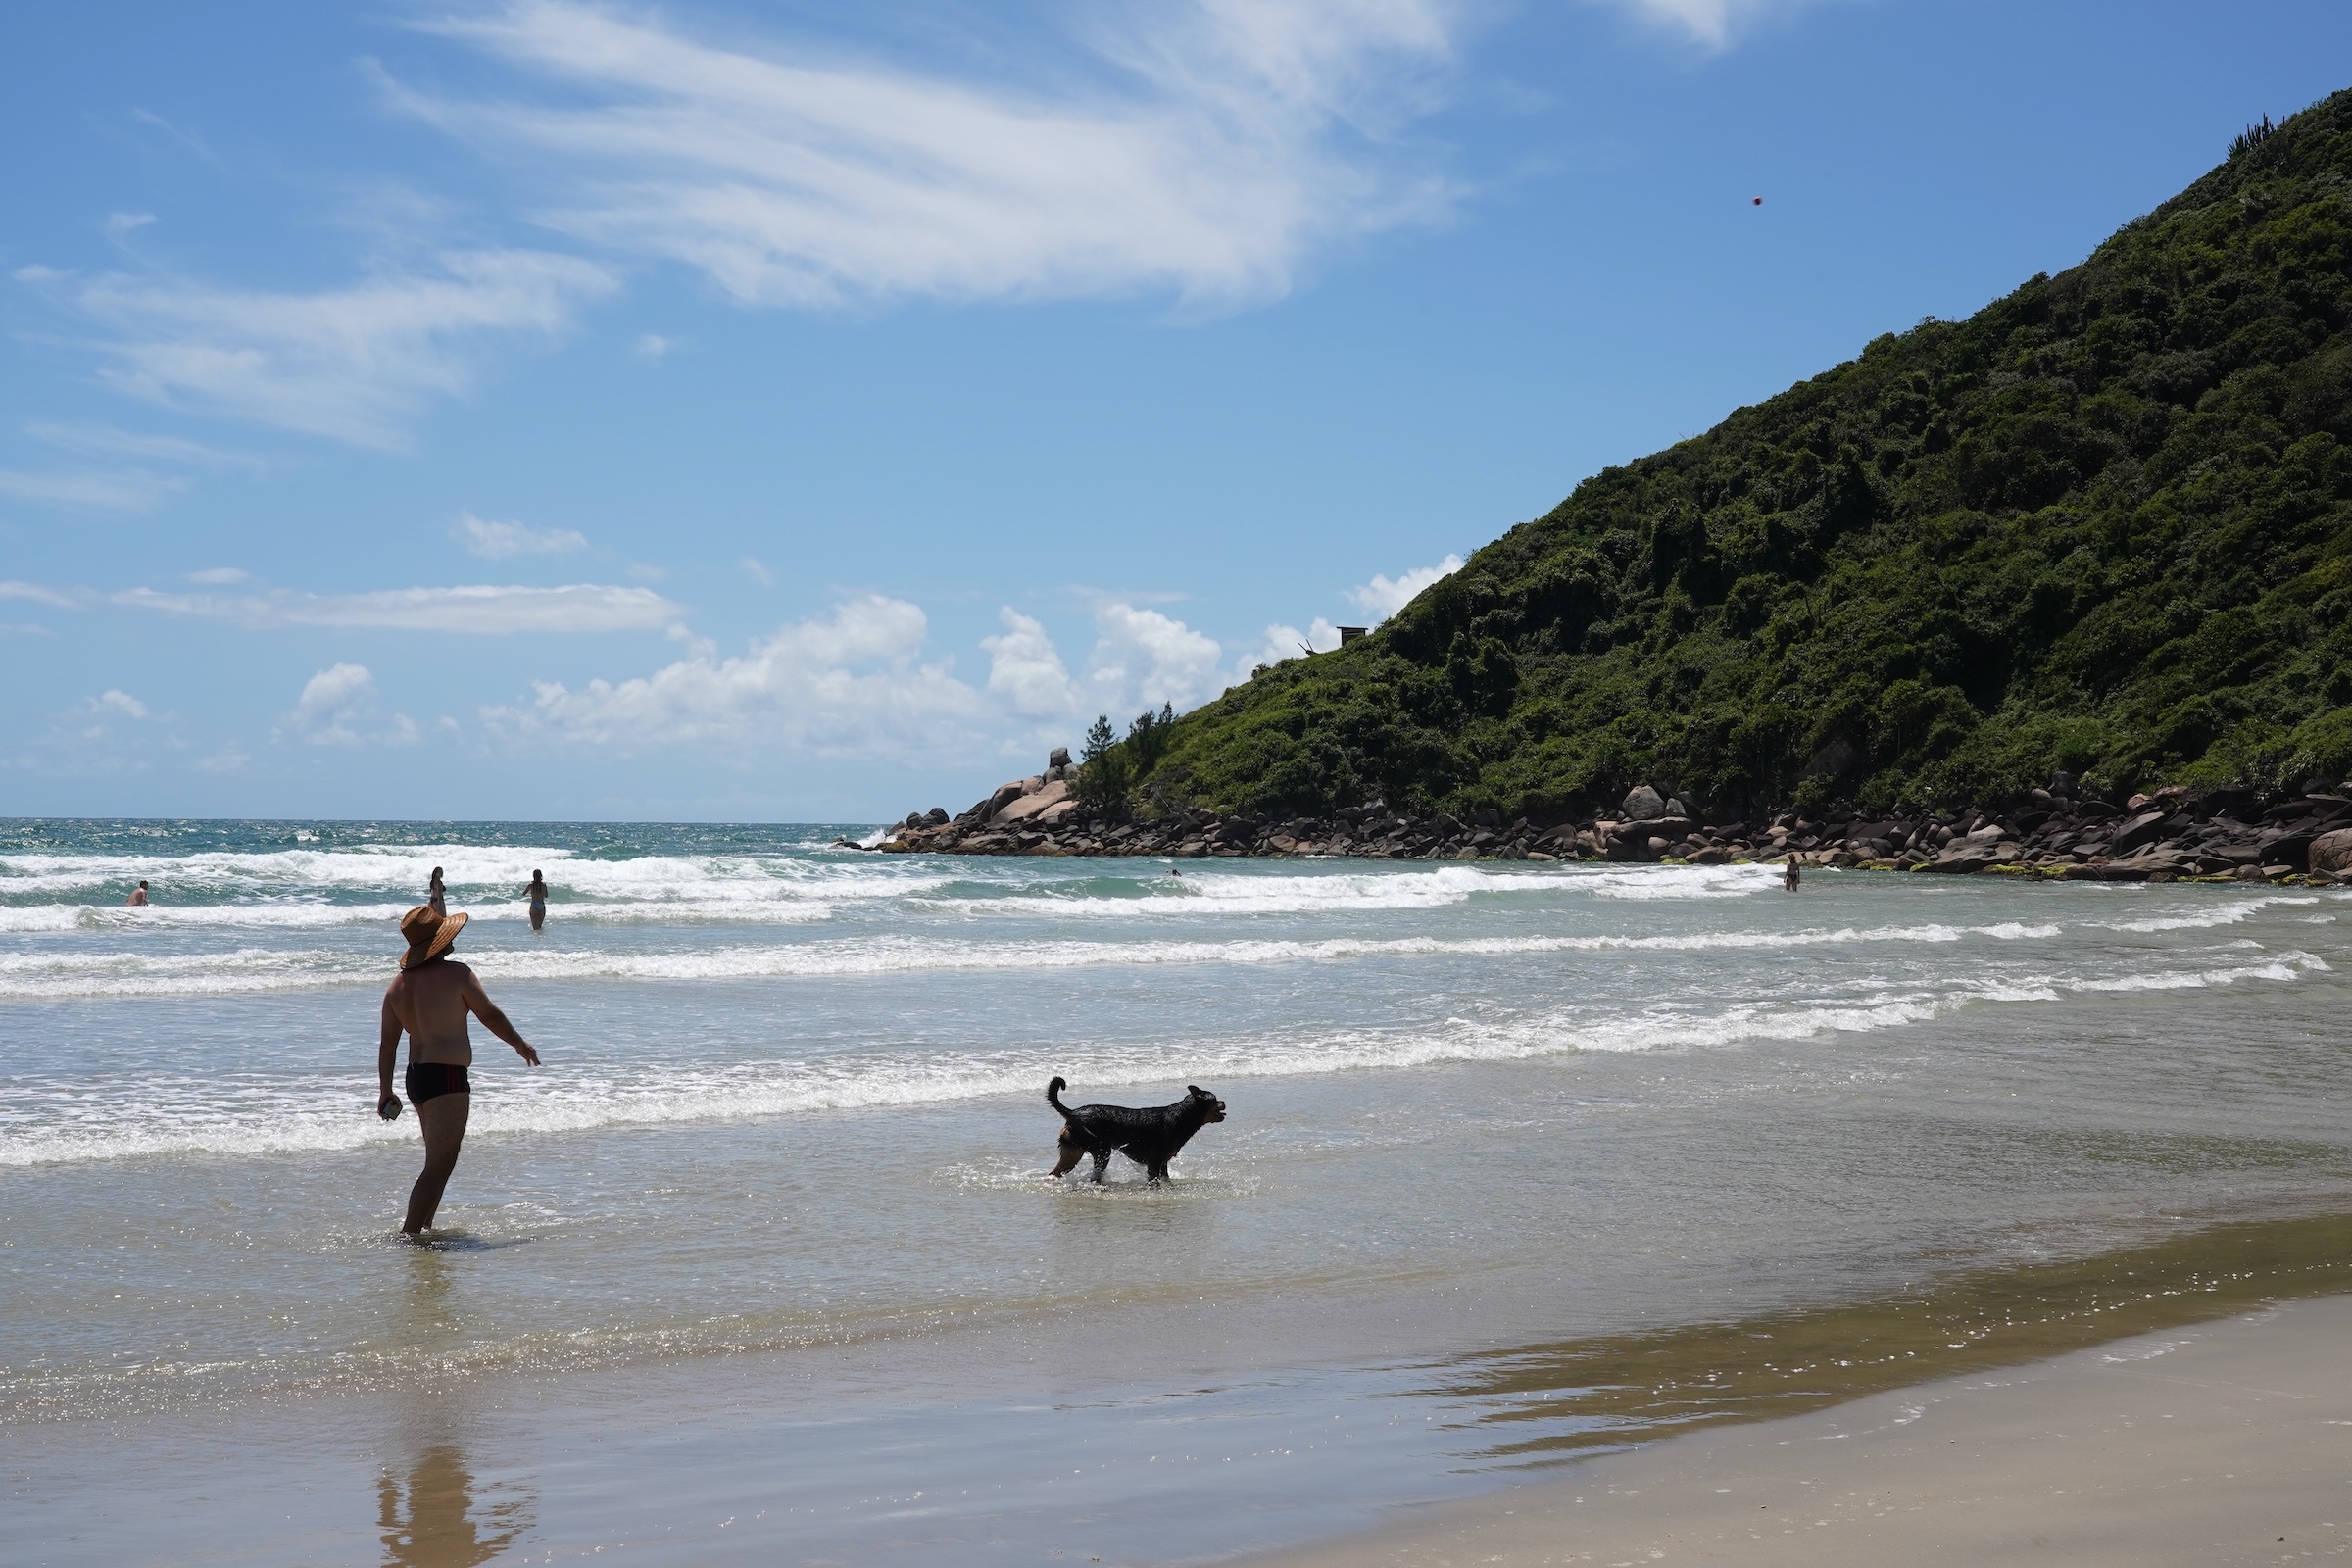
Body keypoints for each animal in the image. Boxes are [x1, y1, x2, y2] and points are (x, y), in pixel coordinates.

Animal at [1049, 1081, 1232, 1189]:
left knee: (1056, 1172)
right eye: (1215, 1099)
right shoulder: (1155, 1162)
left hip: (1072, 1152)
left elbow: (1166, 1179)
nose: (1224, 1102)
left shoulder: (1163, 1163)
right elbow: (1154, 1180)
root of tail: (1072, 1113)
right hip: (1101, 1149)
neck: (1182, 1117)